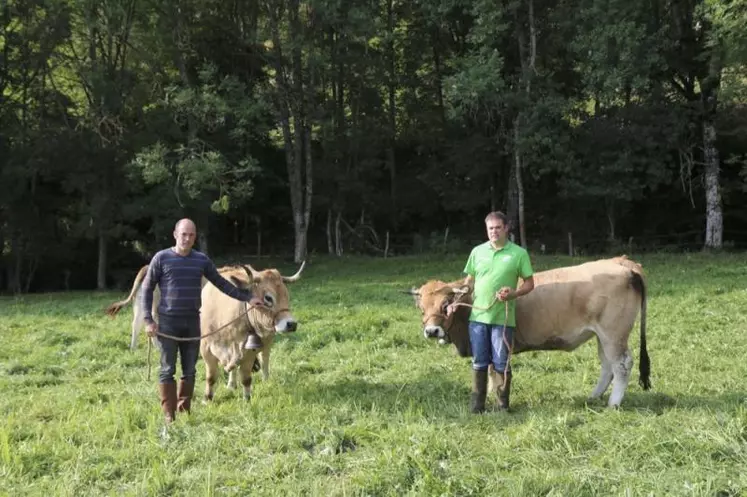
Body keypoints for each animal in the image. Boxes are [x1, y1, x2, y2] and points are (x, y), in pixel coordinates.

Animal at [410, 256, 648, 406]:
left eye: (446, 304)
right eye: (421, 308)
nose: (432, 331)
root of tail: (621, 261)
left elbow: (493, 371)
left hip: (613, 334)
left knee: (622, 364)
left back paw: (613, 403)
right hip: (602, 336)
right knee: (607, 365)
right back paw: (593, 397)